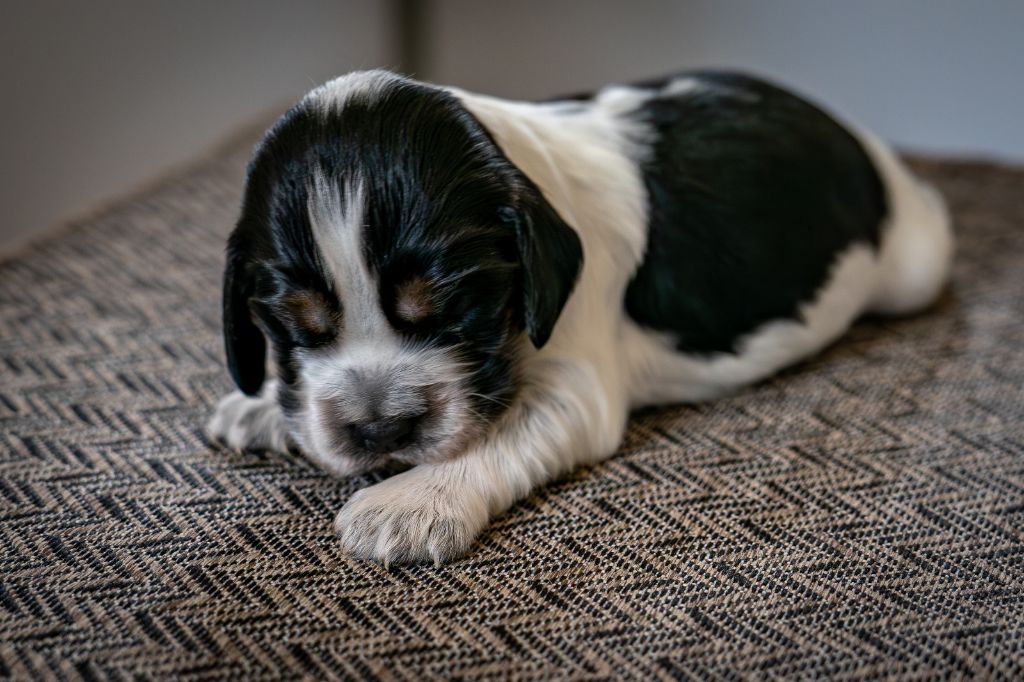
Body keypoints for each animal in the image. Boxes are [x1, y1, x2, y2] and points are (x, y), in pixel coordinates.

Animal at [208, 69, 953, 565]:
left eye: (454, 305)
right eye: (292, 321)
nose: (380, 431)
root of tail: (856, 139)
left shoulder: (575, 383)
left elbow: (498, 434)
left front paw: (410, 503)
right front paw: (264, 407)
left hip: (915, 269)